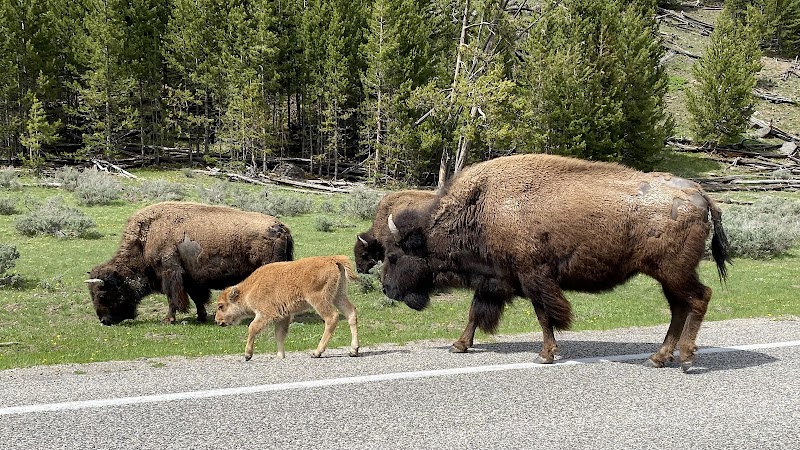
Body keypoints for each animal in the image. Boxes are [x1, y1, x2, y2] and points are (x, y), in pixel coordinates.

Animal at [85, 201, 294, 325]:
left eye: (103, 295)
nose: (104, 320)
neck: (146, 238)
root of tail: (281, 228)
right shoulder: (192, 280)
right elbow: (197, 298)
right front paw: (201, 317)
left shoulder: (170, 274)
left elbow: (172, 299)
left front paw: (168, 319)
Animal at [214, 255, 360, 361]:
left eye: (221, 306)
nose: (217, 321)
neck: (250, 289)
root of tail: (333, 259)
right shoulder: (283, 316)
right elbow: (279, 335)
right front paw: (280, 356)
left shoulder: (266, 314)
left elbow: (252, 328)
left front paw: (247, 355)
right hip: (339, 296)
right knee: (351, 313)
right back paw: (354, 350)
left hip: (319, 300)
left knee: (331, 318)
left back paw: (317, 352)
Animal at [380, 154, 731, 371]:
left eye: (395, 255)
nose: (385, 288)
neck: (480, 207)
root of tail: (700, 194)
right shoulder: (497, 279)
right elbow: (476, 313)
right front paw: (459, 345)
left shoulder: (533, 276)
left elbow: (544, 315)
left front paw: (545, 355)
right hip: (668, 275)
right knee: (679, 308)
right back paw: (658, 358)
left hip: (673, 272)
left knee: (699, 299)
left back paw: (686, 360)